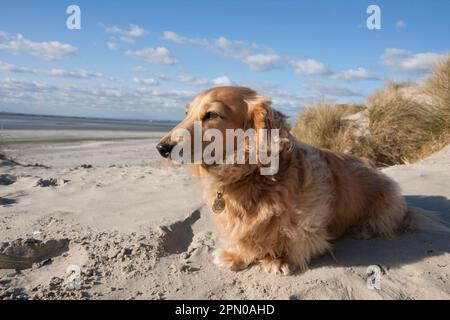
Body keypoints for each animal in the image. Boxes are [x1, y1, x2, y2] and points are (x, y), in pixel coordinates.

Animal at [157, 87, 442, 276]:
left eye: (211, 115)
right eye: (186, 112)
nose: (162, 148)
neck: (250, 176)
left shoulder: (306, 225)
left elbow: (293, 241)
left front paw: (279, 260)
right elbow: (245, 240)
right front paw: (235, 255)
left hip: (386, 200)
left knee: (384, 222)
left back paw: (364, 229)